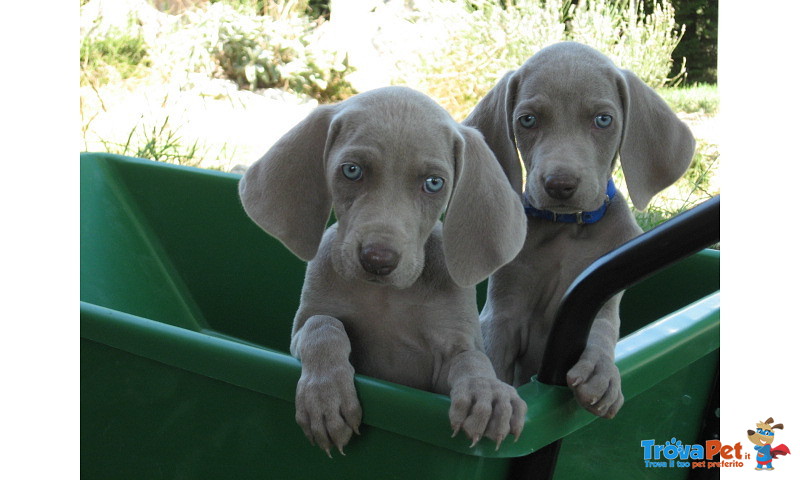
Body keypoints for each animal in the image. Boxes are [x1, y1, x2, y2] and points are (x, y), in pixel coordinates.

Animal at [462, 41, 692, 418]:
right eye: (528, 120)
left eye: (603, 120)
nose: (560, 185)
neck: (569, 229)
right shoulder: (503, 313)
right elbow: (493, 357)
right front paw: (490, 397)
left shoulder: (606, 292)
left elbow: (601, 328)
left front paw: (600, 369)